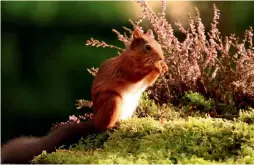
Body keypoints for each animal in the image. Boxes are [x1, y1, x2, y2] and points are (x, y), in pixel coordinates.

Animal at [0, 28, 168, 164]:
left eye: (159, 44)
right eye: (147, 47)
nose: (161, 57)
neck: (135, 57)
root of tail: (95, 120)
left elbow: (148, 81)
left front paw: (163, 66)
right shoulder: (125, 67)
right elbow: (135, 75)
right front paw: (155, 66)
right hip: (112, 101)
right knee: (103, 127)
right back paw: (114, 125)